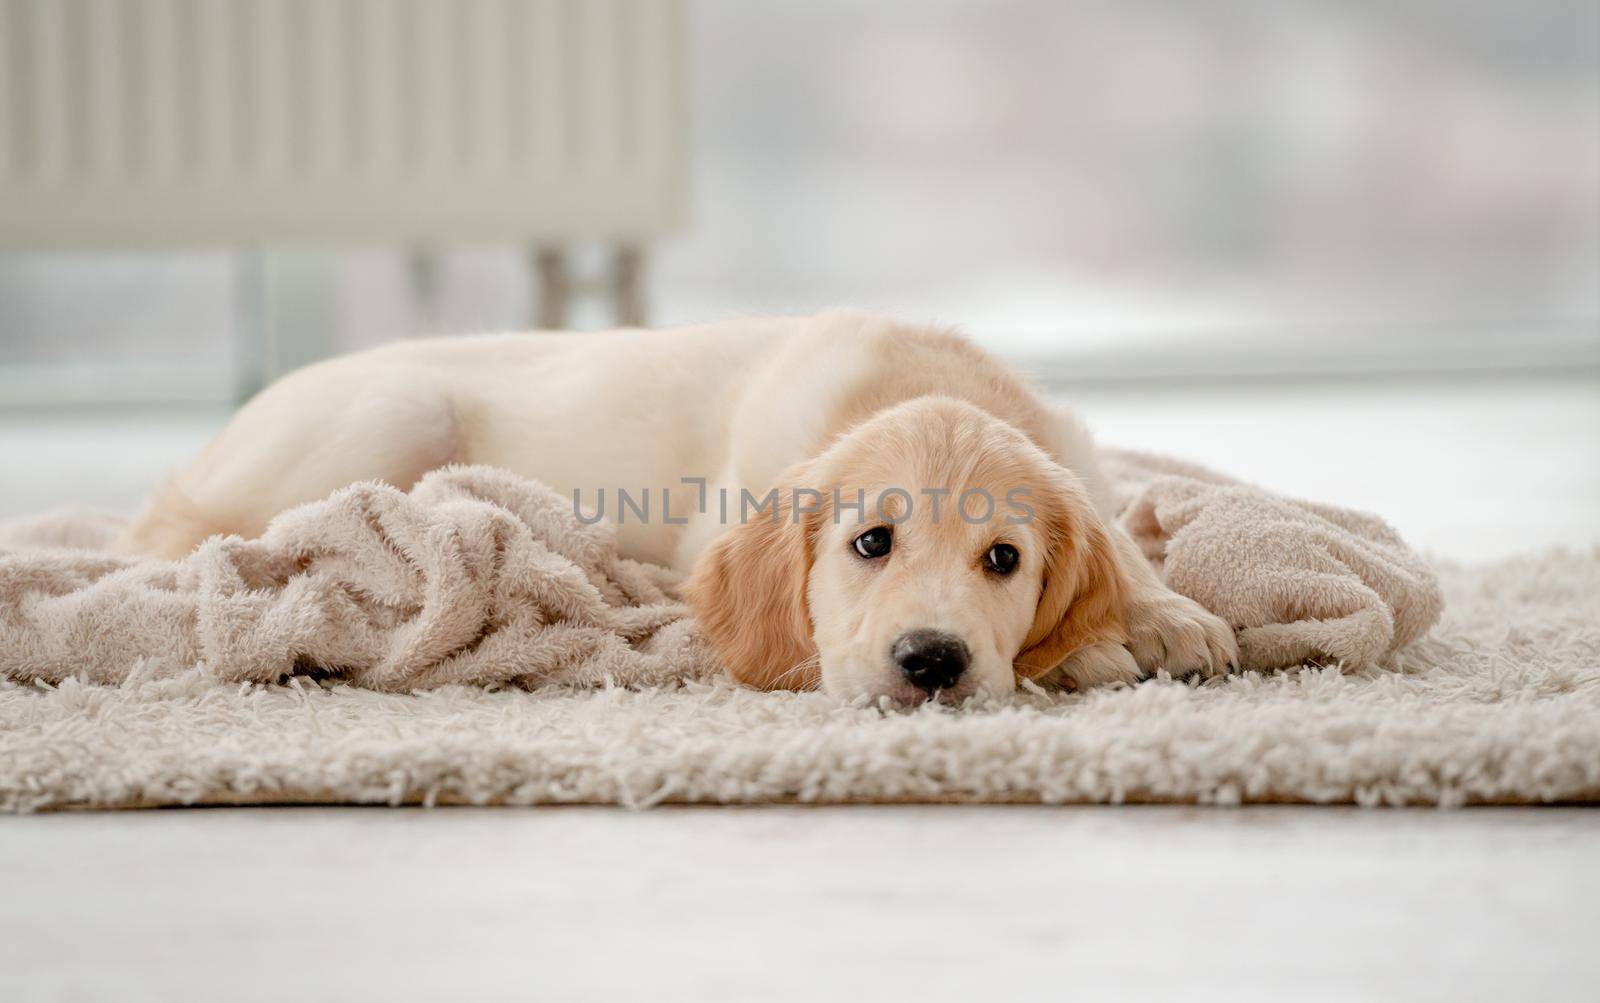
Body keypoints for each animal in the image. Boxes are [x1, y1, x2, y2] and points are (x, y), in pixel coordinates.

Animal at [124, 310, 1235, 703]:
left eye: (1003, 559)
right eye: (870, 542)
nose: (932, 661)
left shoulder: (1074, 455)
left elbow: (1119, 538)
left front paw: (1165, 612)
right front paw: (1093, 649)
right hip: (392, 420)